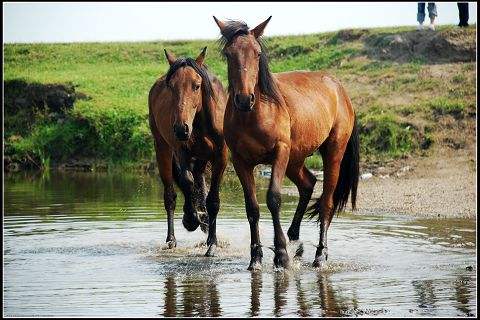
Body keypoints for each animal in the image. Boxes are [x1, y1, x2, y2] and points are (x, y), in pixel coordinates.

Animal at [148, 47, 229, 256]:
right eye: (171, 86)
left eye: (197, 85)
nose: (181, 129)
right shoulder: (181, 151)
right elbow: (187, 182)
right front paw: (191, 219)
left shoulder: (221, 157)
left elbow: (213, 199)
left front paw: (212, 243)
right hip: (163, 149)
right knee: (171, 195)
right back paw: (172, 238)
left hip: (201, 157)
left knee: (199, 181)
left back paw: (204, 220)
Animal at [212, 16, 358, 268]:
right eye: (229, 54)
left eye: (257, 53)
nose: (244, 99)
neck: (254, 114)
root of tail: (339, 89)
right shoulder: (241, 161)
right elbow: (252, 207)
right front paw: (256, 257)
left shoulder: (280, 152)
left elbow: (273, 198)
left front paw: (280, 254)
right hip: (295, 158)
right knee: (308, 184)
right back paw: (295, 240)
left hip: (332, 152)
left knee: (327, 202)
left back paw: (320, 255)